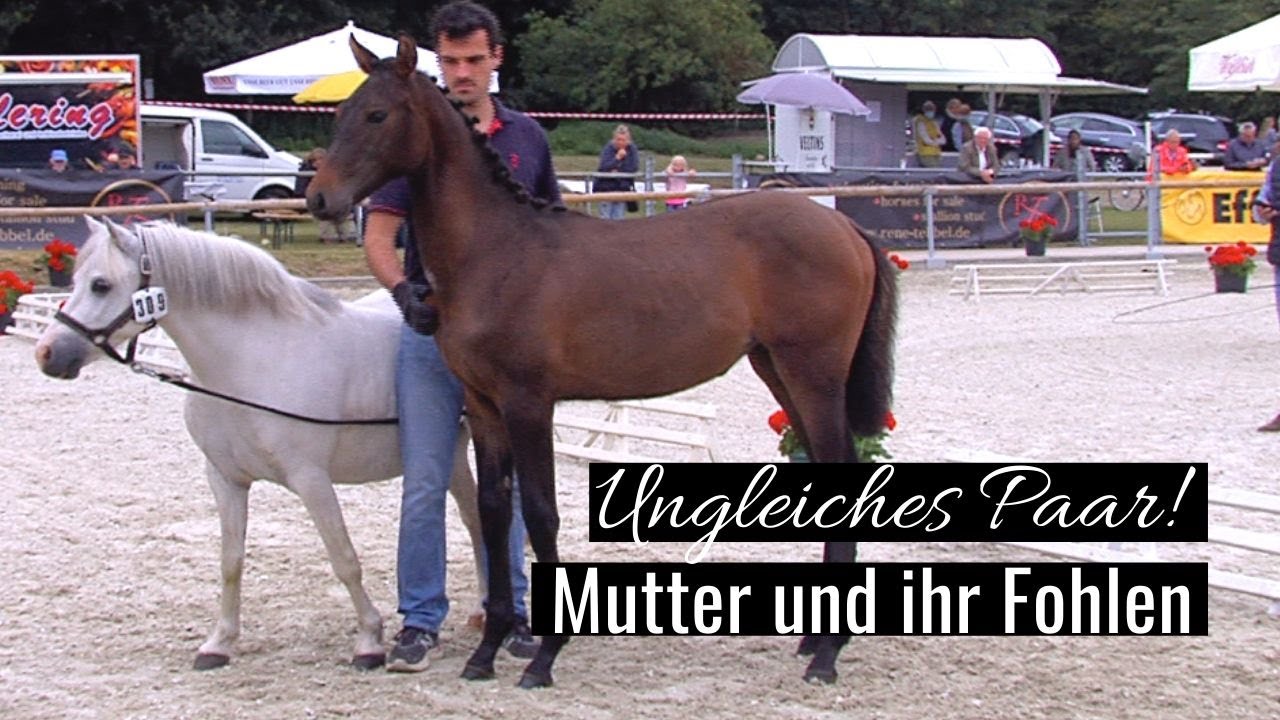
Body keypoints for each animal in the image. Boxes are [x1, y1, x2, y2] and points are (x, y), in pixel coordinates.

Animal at [33, 216, 488, 670]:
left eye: (101, 285)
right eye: (76, 280)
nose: (47, 353)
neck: (254, 362)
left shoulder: (311, 480)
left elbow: (344, 559)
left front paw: (368, 640)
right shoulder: (225, 479)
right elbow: (230, 561)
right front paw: (220, 643)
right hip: (450, 455)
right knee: (474, 519)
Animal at [307, 36, 897, 688]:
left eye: (377, 115)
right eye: (340, 113)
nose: (319, 198)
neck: (496, 252)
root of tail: (842, 224)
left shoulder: (529, 404)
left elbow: (540, 514)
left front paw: (544, 656)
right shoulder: (483, 408)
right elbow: (494, 512)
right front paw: (486, 652)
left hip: (812, 374)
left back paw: (827, 654)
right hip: (778, 370)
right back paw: (815, 640)